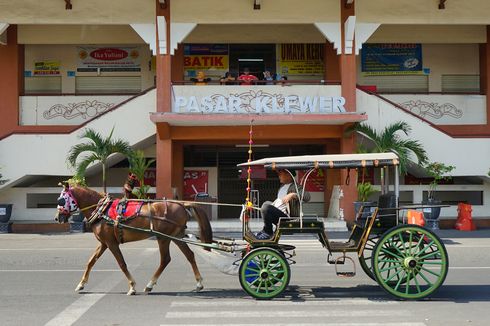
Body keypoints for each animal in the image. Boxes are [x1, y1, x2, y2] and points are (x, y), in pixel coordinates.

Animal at [55, 181, 212, 296]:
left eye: (62, 199)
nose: (57, 218)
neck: (102, 210)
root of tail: (182, 204)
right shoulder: (104, 243)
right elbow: (91, 261)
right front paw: (81, 284)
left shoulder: (111, 243)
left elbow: (122, 264)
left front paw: (132, 286)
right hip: (176, 236)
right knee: (189, 255)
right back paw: (199, 283)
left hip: (163, 237)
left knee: (165, 259)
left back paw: (149, 285)